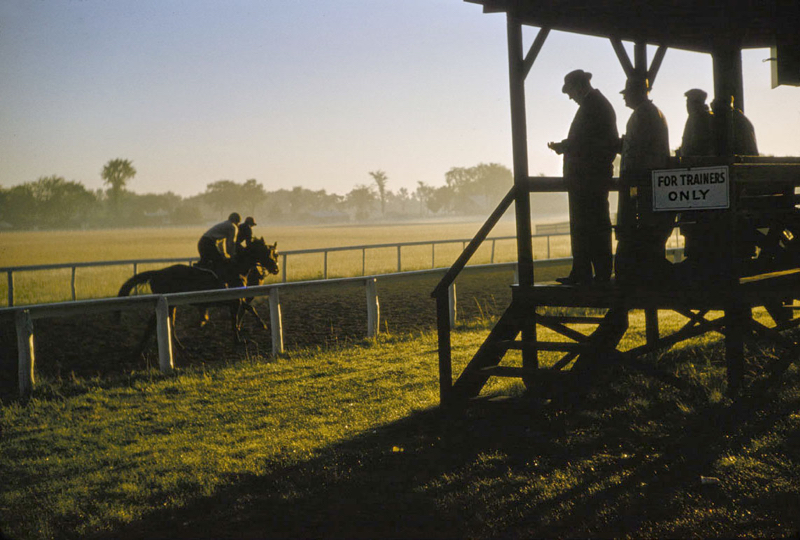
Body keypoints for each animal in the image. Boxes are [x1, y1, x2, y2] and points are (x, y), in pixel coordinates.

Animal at [117, 237, 280, 356]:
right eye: (269, 253)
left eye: (275, 254)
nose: (276, 268)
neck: (236, 269)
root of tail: (156, 273)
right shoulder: (234, 300)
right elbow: (240, 315)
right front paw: (242, 337)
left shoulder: (236, 299)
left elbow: (246, 310)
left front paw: (254, 328)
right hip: (168, 302)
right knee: (156, 323)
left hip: (171, 304)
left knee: (165, 323)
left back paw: (171, 347)